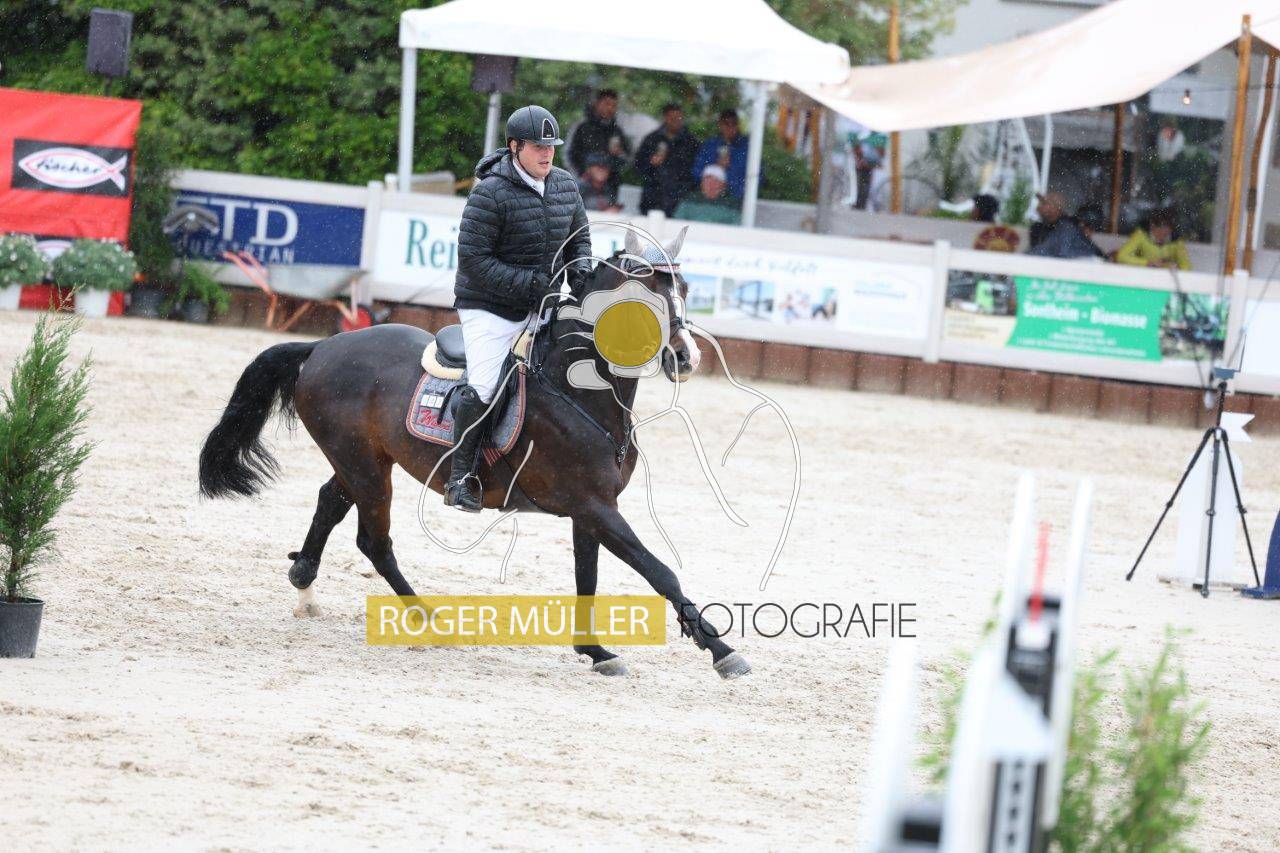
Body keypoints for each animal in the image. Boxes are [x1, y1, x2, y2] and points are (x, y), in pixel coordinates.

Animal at [198, 228, 752, 680]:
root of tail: (323, 348)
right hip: (366, 468)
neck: (579, 393)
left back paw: (305, 584)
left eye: (683, 291)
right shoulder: (594, 506)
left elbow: (588, 578)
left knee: (329, 502)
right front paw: (722, 651)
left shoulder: (591, 509)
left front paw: (594, 651)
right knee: (373, 541)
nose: (685, 357)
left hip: (363, 460)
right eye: (639, 298)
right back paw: (428, 621)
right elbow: (659, 570)